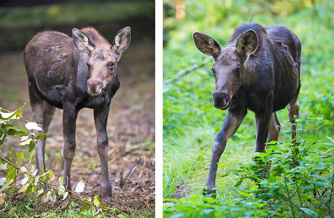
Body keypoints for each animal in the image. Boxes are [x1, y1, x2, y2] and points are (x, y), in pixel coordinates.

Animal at [24, 26, 130, 205]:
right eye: (88, 64)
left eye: (111, 64)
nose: (93, 85)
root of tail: (30, 42)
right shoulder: (69, 103)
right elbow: (69, 147)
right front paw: (66, 194)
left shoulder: (104, 105)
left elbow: (103, 144)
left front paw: (106, 193)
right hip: (33, 92)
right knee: (37, 133)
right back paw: (41, 187)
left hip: (49, 102)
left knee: (44, 132)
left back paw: (43, 181)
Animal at [192, 23, 302, 195]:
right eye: (213, 70)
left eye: (237, 69)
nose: (219, 97)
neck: (248, 83)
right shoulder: (237, 108)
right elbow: (219, 140)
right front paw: (209, 190)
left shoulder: (263, 108)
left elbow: (258, 151)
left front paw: (260, 190)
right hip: (272, 104)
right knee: (276, 127)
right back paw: (268, 175)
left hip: (294, 91)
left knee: (294, 114)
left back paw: (294, 164)